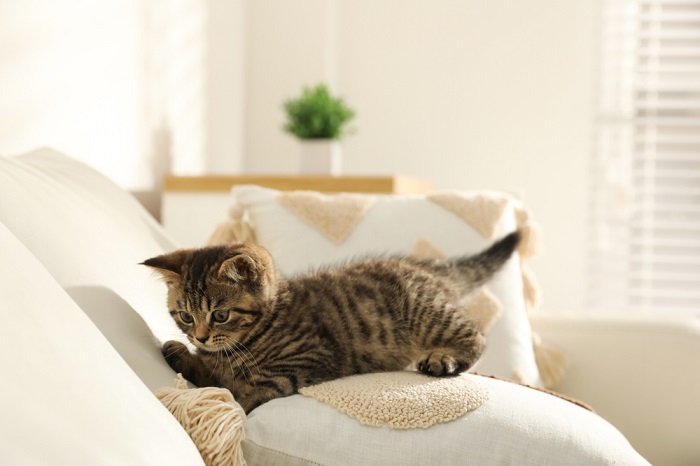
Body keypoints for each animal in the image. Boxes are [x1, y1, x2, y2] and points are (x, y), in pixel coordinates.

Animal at [144, 231, 520, 414]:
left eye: (220, 315)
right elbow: (212, 376)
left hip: (426, 314)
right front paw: (182, 353)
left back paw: (444, 357)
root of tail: (428, 269)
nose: (201, 337)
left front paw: (237, 404)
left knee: (476, 334)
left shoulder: (309, 357)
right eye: (186, 316)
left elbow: (253, 388)